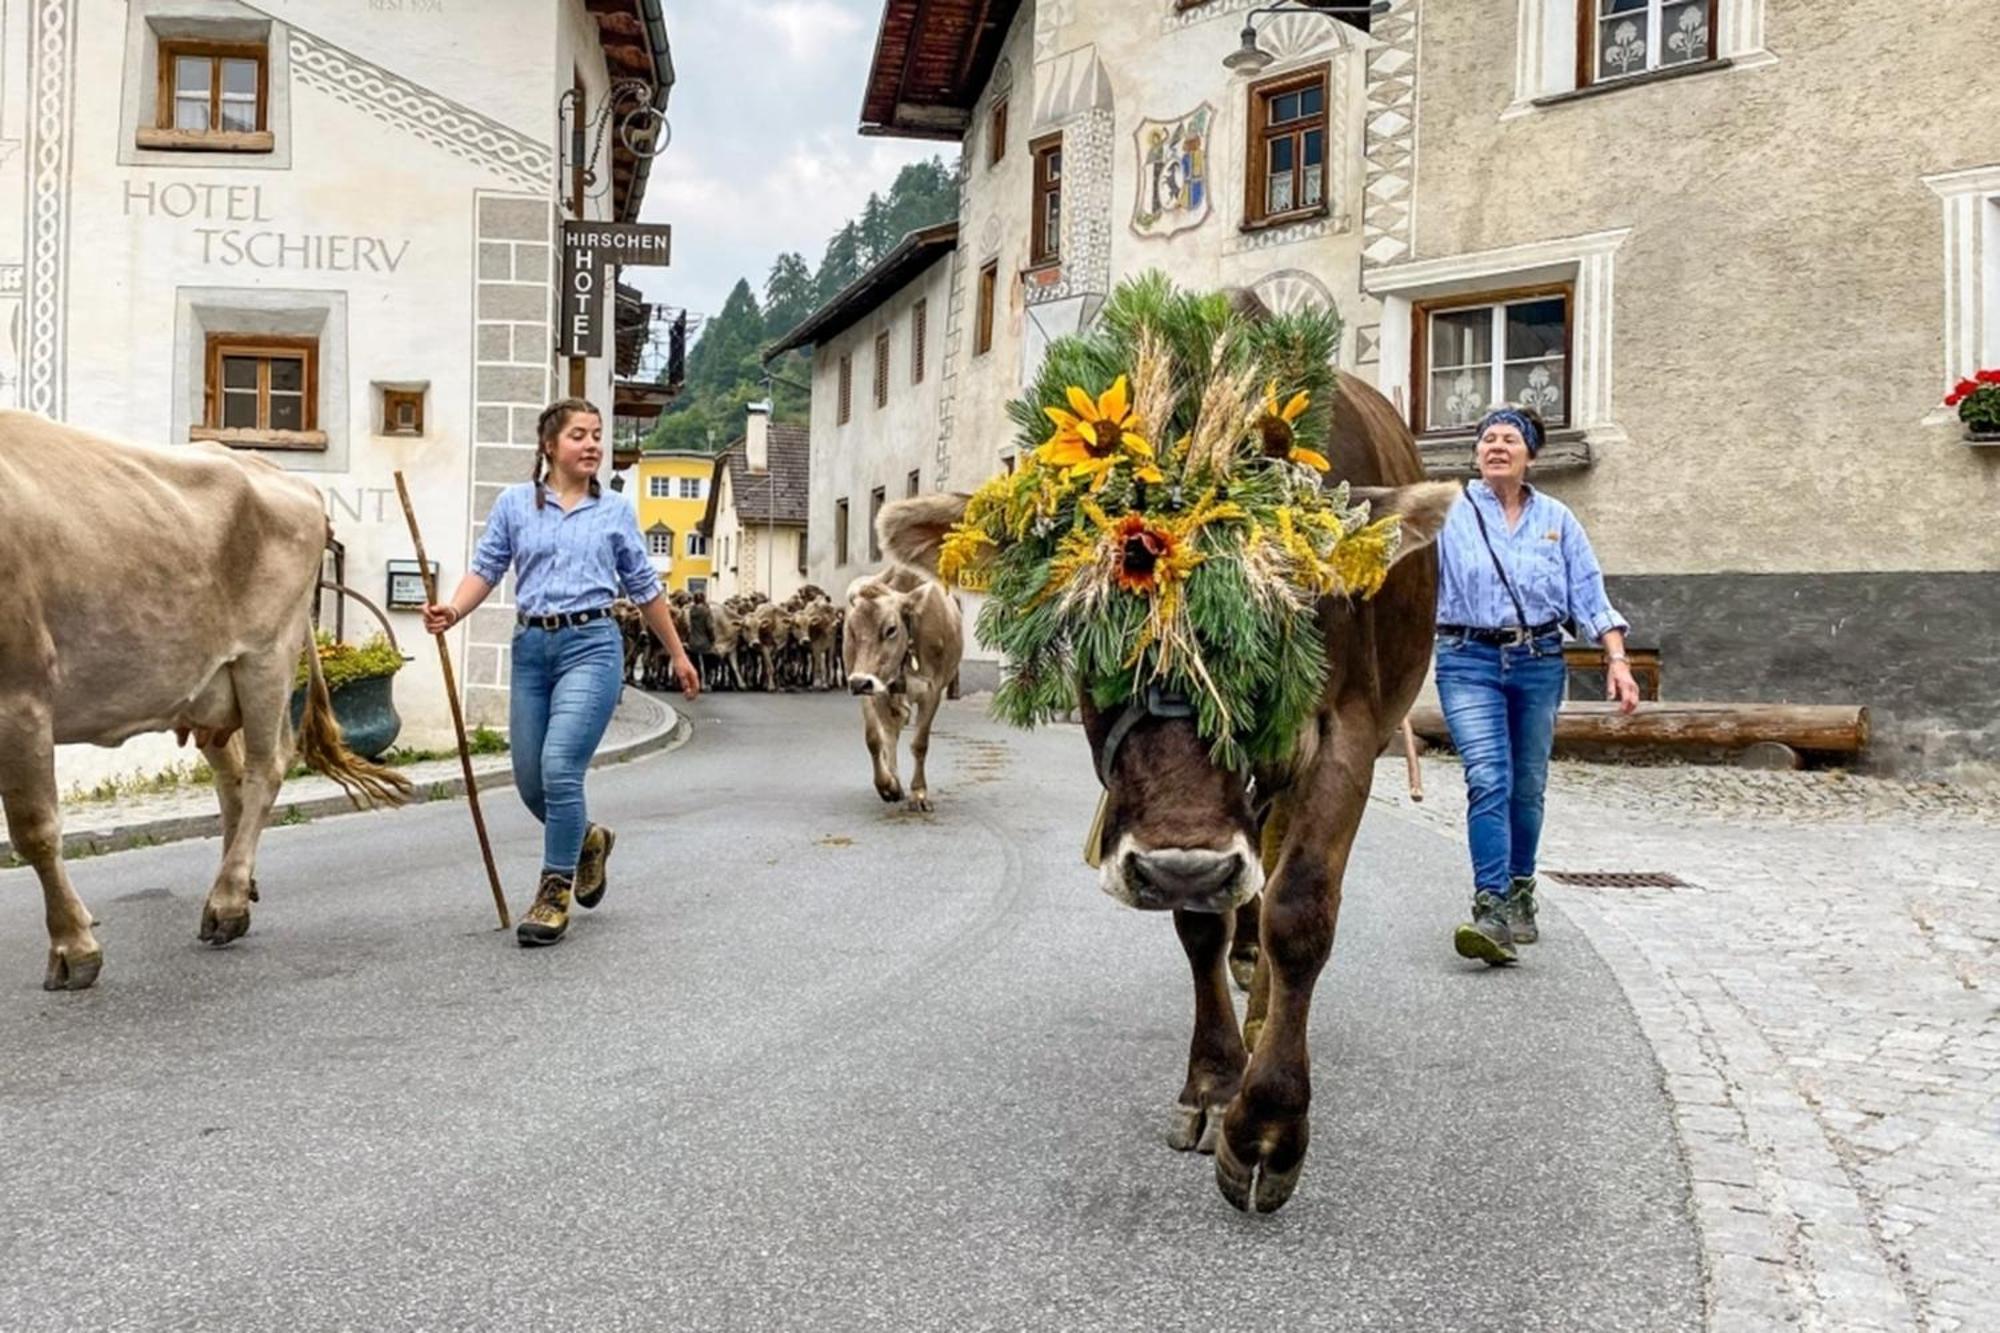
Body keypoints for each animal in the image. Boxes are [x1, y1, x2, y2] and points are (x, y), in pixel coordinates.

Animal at [0, 412, 414, 984]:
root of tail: (276, 471)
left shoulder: (21, 695)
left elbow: (35, 830)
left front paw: (73, 948)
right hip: (212, 684)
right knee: (233, 778)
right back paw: (237, 886)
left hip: (267, 656)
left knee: (266, 767)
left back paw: (227, 902)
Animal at [840, 560, 964, 808]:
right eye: (852, 630)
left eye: (890, 629)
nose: (858, 683)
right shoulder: (874, 687)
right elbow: (875, 739)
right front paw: (888, 785)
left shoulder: (932, 690)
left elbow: (920, 743)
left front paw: (919, 793)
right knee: (890, 733)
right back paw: (894, 781)